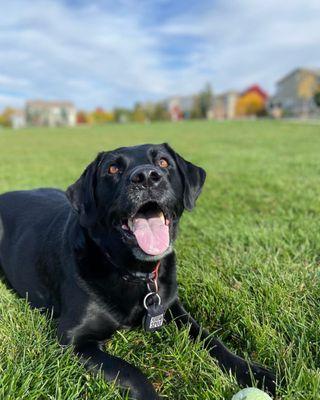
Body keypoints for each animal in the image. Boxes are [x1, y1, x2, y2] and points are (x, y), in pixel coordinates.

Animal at [0, 143, 276, 396]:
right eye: (113, 168)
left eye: (164, 162)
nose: (146, 177)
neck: (134, 272)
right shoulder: (72, 339)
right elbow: (132, 373)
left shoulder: (173, 307)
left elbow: (210, 339)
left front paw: (257, 373)